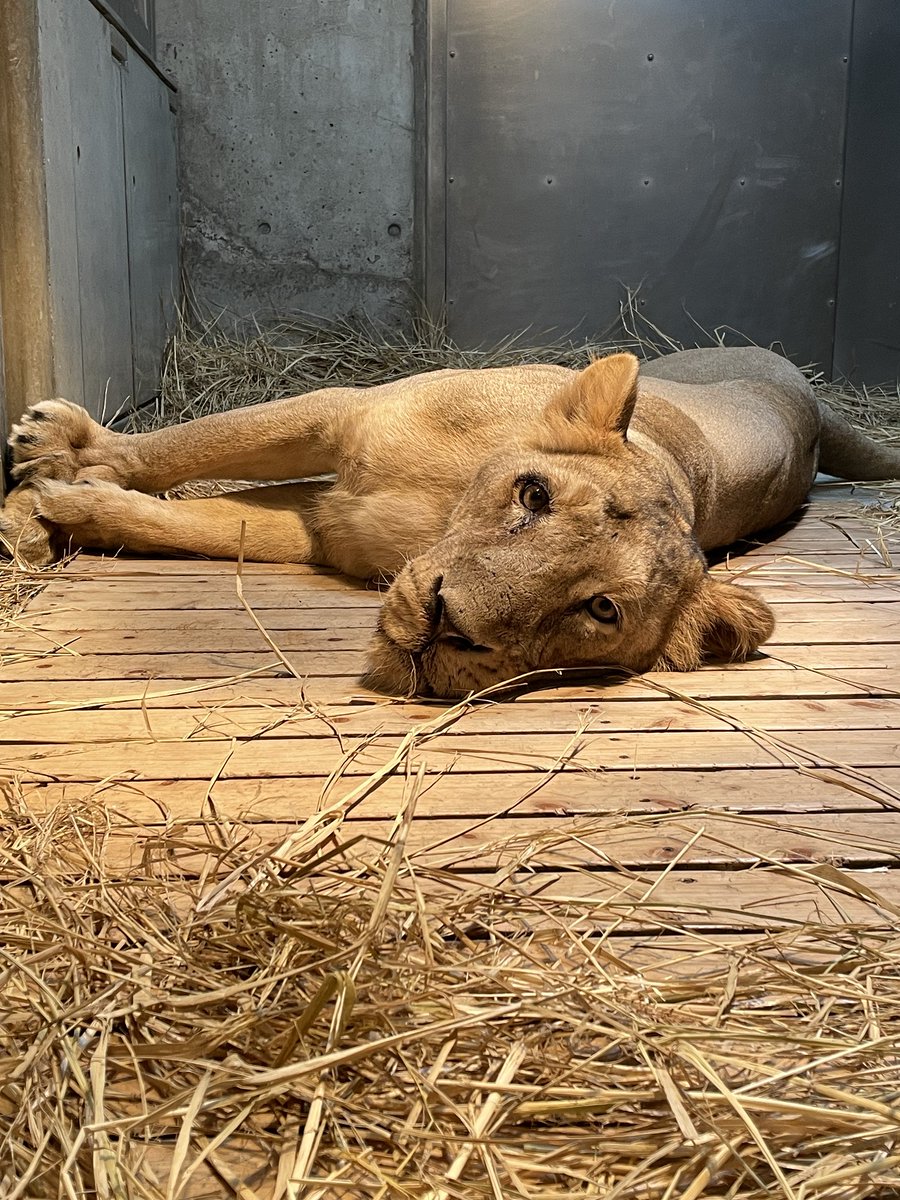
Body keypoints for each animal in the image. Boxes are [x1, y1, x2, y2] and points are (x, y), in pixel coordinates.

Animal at [3, 343, 897, 700]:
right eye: (534, 497)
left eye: (601, 609)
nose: (444, 623)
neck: (440, 513)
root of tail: (807, 393)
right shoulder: (341, 415)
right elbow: (186, 445)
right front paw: (56, 460)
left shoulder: (323, 523)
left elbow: (202, 527)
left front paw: (58, 506)